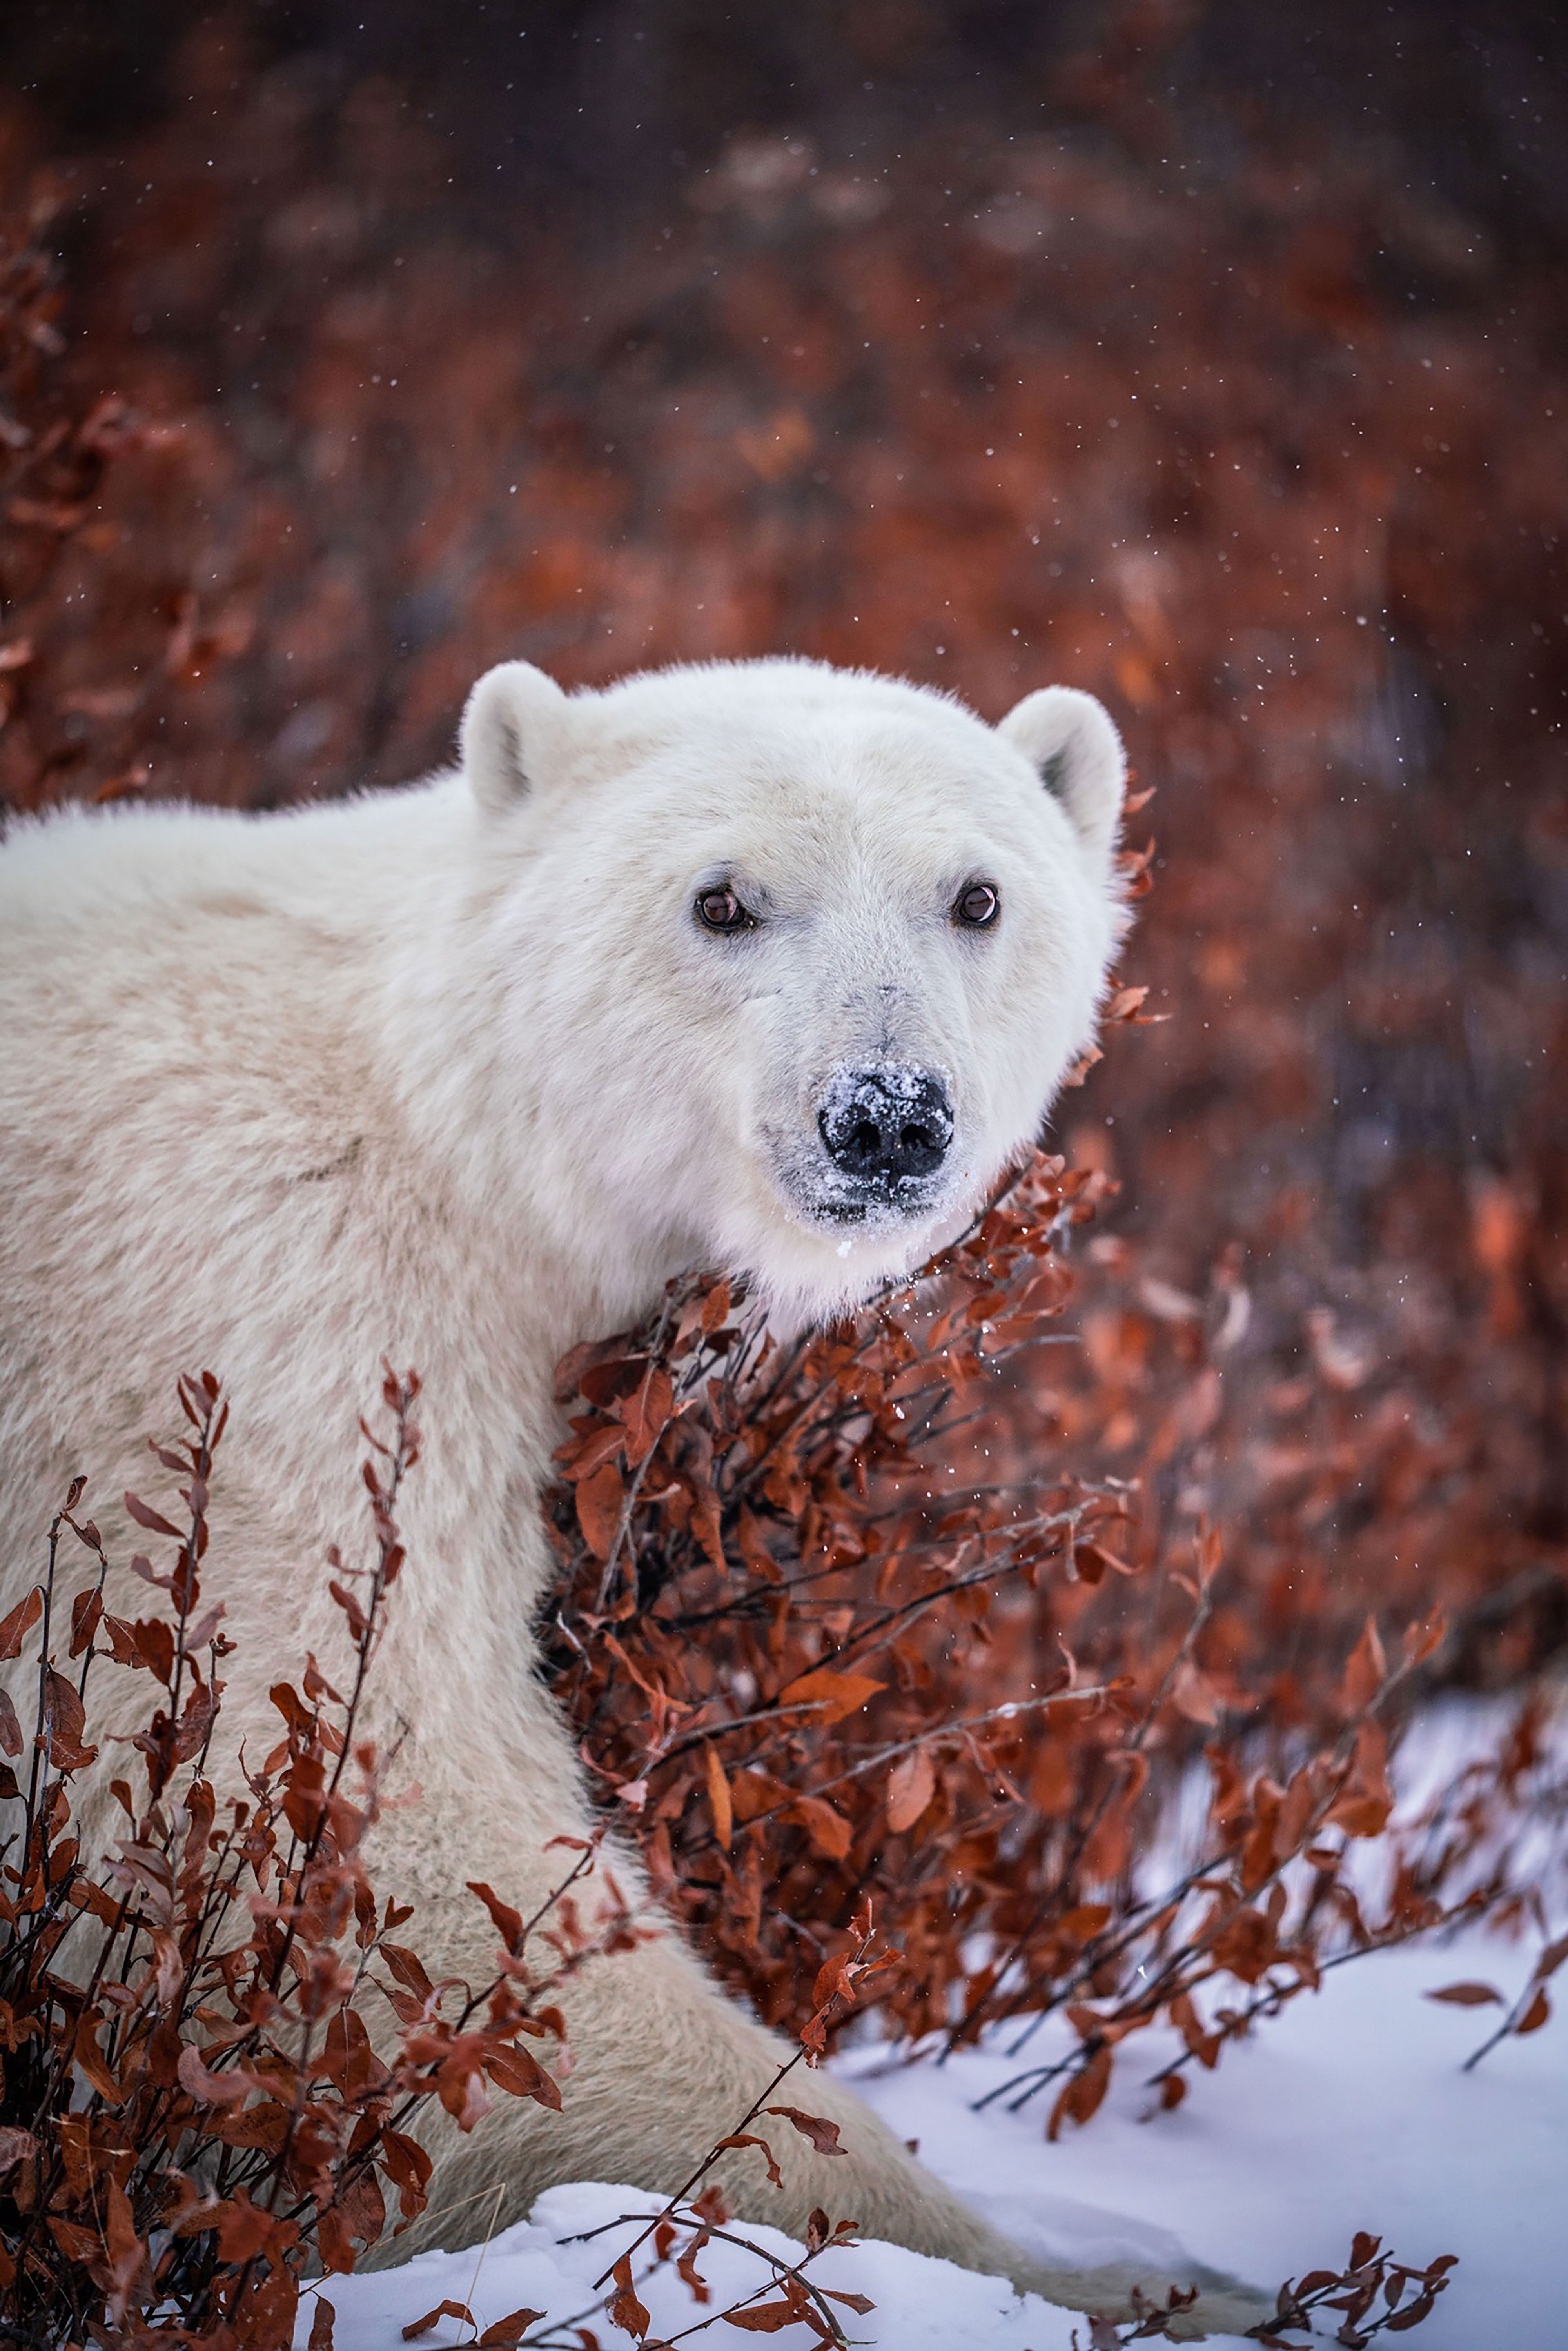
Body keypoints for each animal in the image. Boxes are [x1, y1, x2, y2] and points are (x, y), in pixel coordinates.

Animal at [0, 658, 1250, 2332]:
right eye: (721, 900)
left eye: (976, 895)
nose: (886, 1114)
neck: (446, 1113)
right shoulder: (242, 1311)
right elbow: (346, 1824)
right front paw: (1119, 2275)